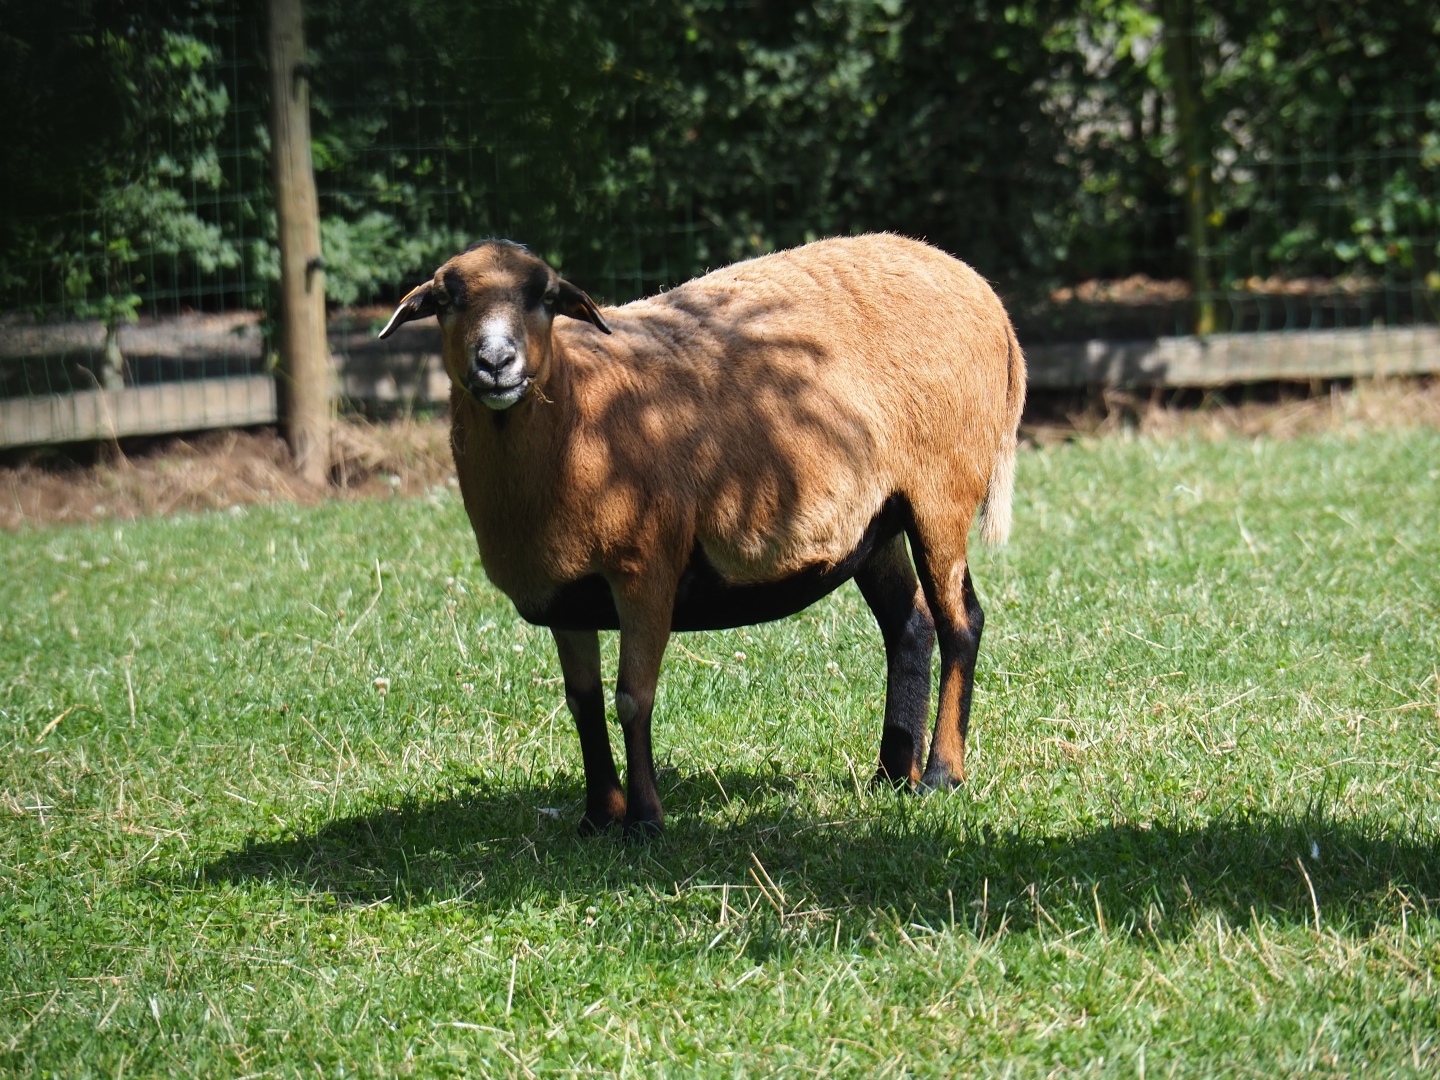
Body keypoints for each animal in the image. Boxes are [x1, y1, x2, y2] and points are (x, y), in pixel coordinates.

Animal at [379, 234, 1026, 835]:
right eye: (445, 300)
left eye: (545, 296)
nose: (496, 362)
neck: (575, 416)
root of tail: (985, 296)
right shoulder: (567, 594)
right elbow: (583, 704)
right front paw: (597, 818)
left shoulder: (645, 571)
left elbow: (632, 699)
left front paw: (644, 823)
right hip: (875, 522)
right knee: (909, 626)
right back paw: (892, 774)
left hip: (942, 490)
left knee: (960, 622)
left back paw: (942, 774)